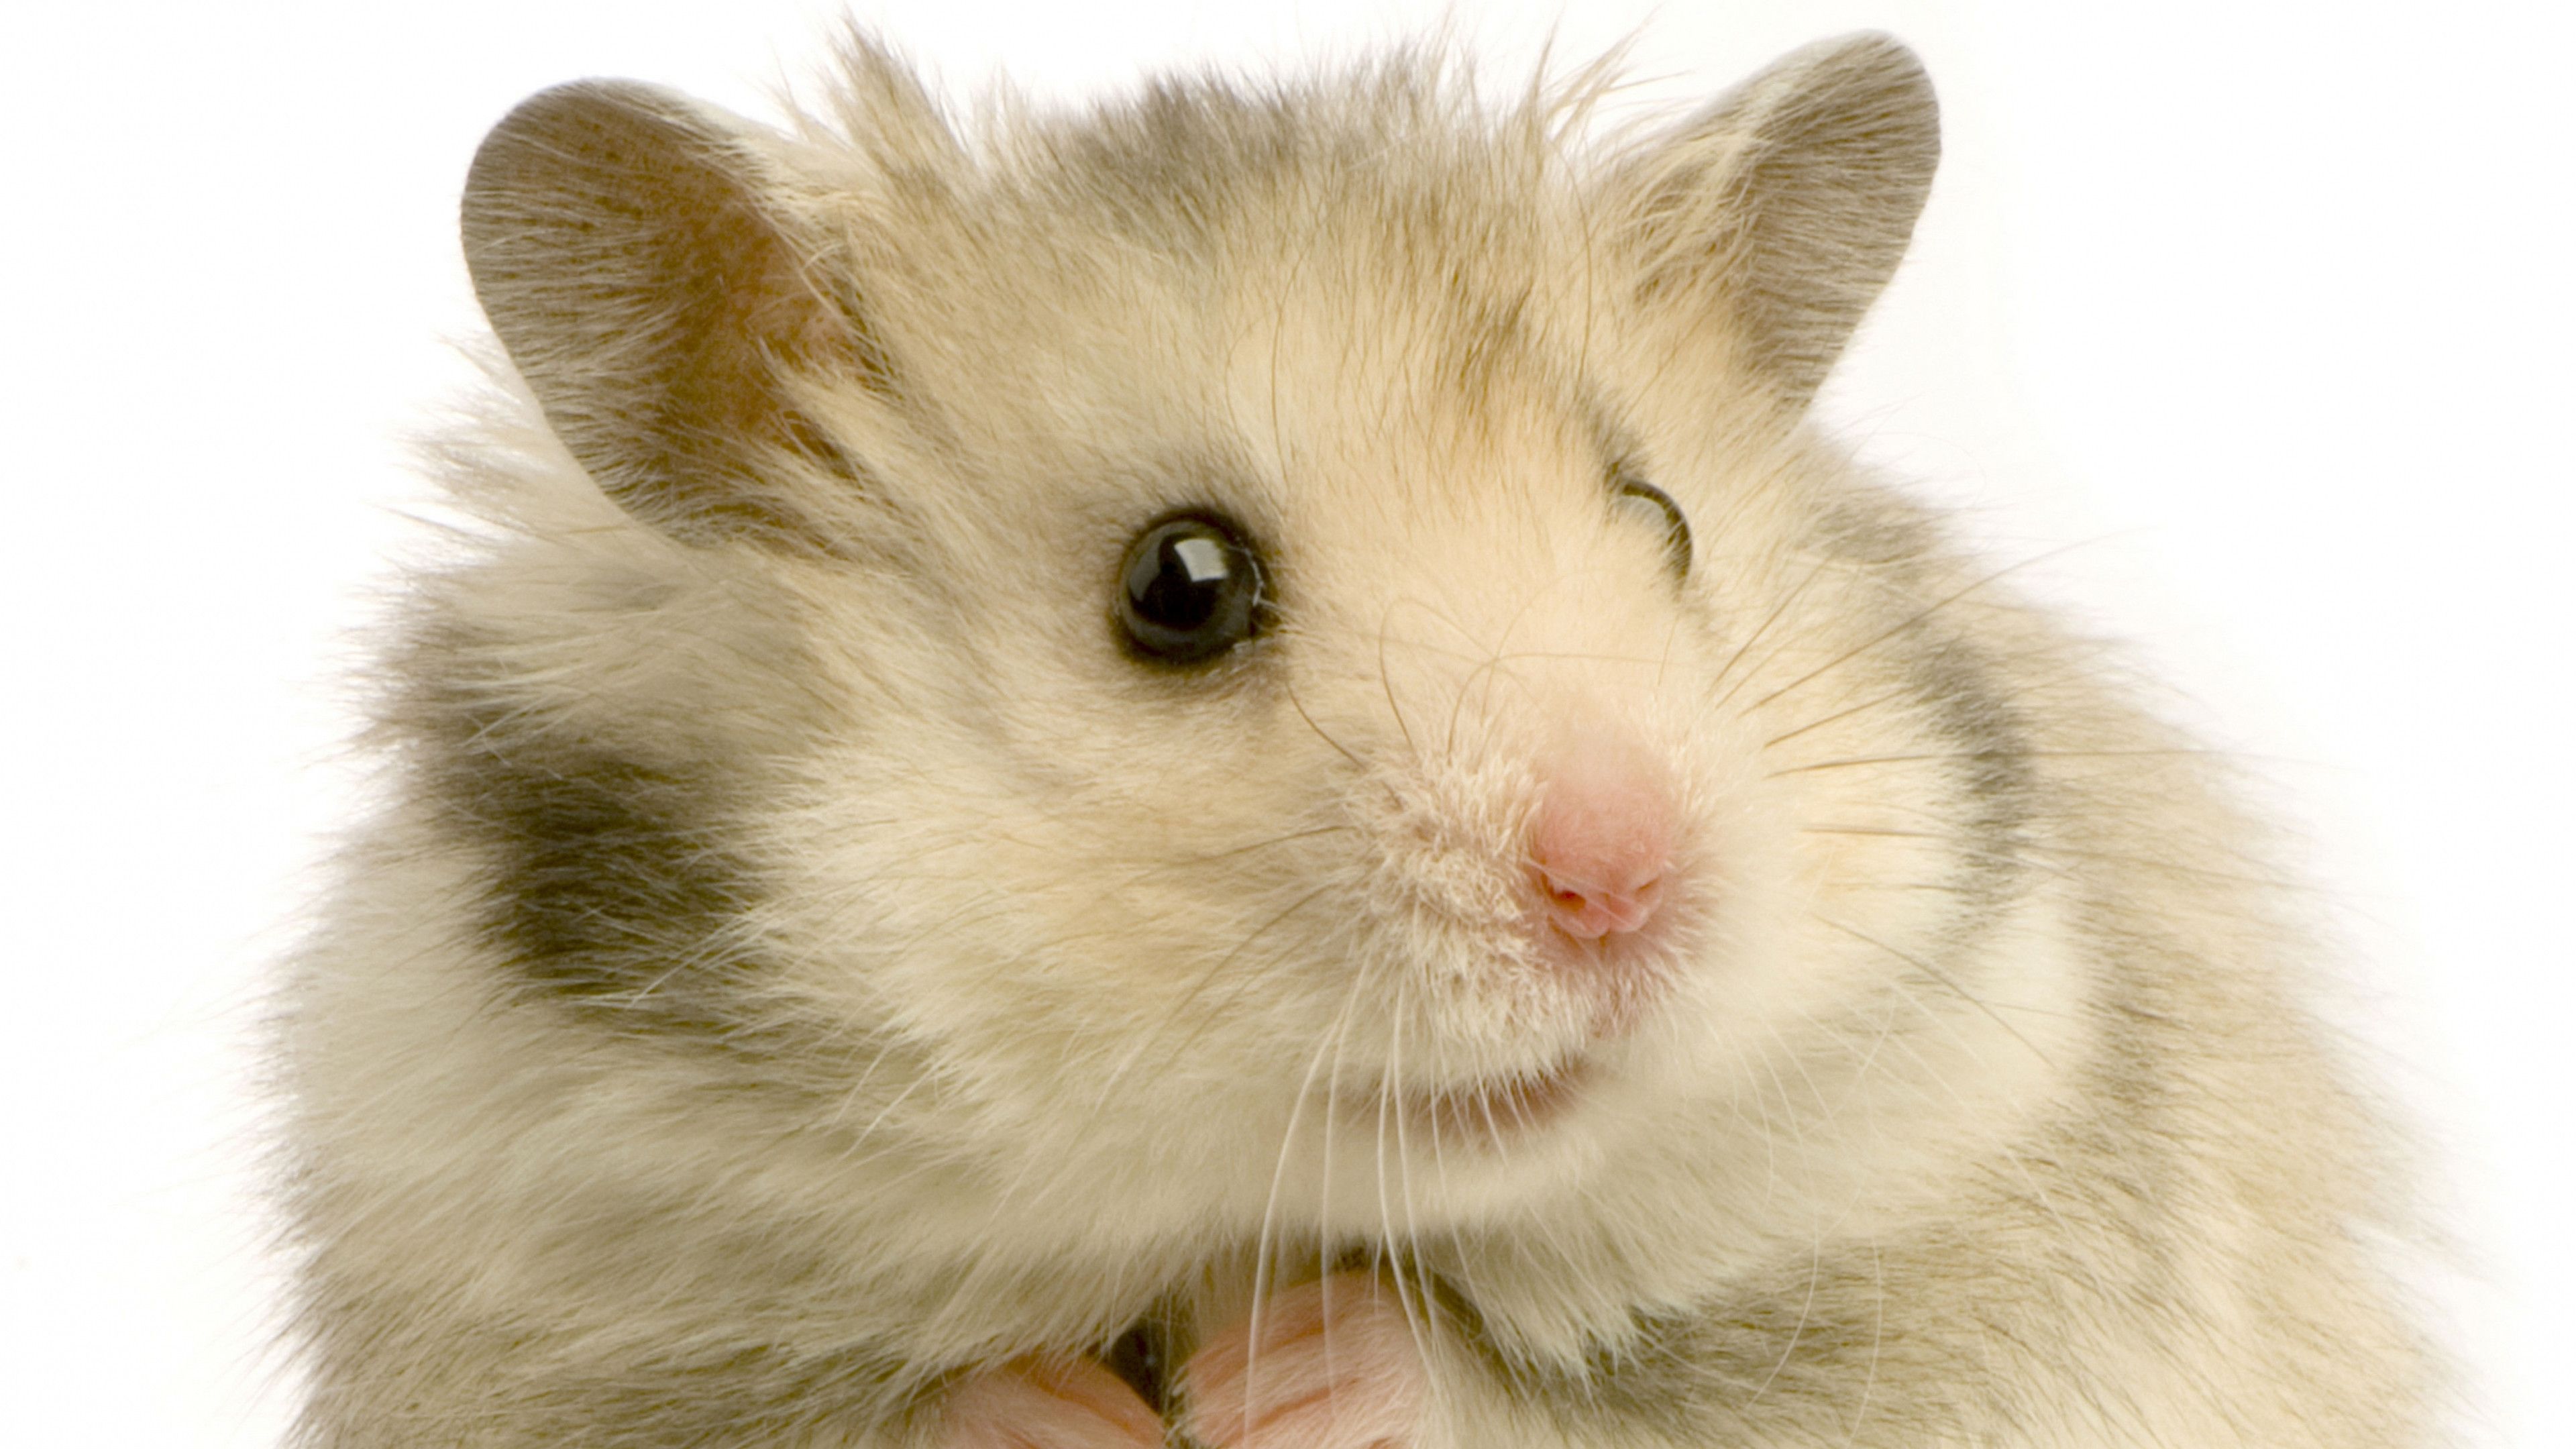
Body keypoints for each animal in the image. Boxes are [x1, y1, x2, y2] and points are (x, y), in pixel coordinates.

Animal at [274, 29, 2436, 1449]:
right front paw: (1061, 1410)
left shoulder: (1987, 1269)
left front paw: (1292, 1368)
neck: (1244, 1213)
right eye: (1181, 586)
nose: (1626, 883)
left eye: (1659, 522)